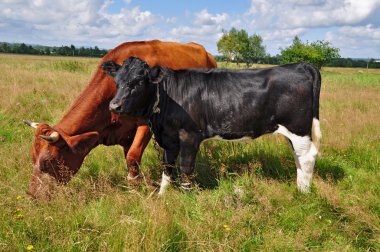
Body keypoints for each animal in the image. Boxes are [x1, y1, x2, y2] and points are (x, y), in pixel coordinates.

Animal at [24, 39, 217, 199]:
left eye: (47, 162)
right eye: (32, 158)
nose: (32, 196)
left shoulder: (145, 125)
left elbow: (132, 157)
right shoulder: (125, 133)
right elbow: (131, 160)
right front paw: (134, 187)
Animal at [103, 56, 320, 195]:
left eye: (139, 81)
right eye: (117, 81)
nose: (114, 106)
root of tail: (300, 66)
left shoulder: (189, 134)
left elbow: (186, 166)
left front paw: (187, 196)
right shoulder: (169, 138)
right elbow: (167, 166)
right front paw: (162, 196)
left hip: (298, 128)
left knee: (307, 156)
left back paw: (303, 193)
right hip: (292, 131)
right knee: (298, 157)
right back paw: (300, 188)